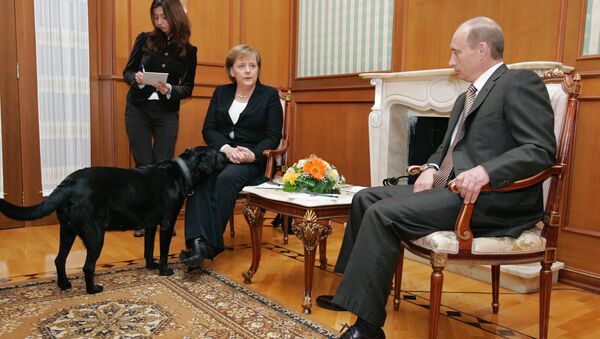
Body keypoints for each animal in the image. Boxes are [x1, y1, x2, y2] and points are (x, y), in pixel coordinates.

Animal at [0, 146, 226, 294]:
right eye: (216, 154)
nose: (226, 152)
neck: (181, 171)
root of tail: (69, 183)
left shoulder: (150, 225)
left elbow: (148, 249)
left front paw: (150, 267)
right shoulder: (166, 224)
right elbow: (162, 252)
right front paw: (164, 271)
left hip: (67, 231)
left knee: (59, 260)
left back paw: (64, 285)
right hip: (95, 235)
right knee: (87, 266)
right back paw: (92, 289)